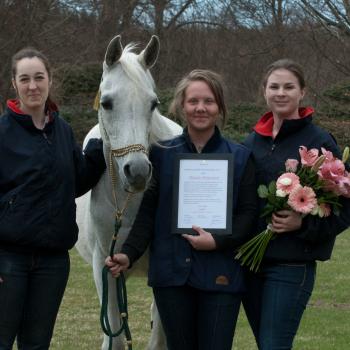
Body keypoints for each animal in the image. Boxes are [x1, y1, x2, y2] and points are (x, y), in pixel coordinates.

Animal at [75, 35, 182, 350]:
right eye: (107, 103)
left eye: (153, 103)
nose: (137, 172)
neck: (126, 205)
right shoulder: (104, 268)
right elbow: (115, 336)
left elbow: (159, 338)